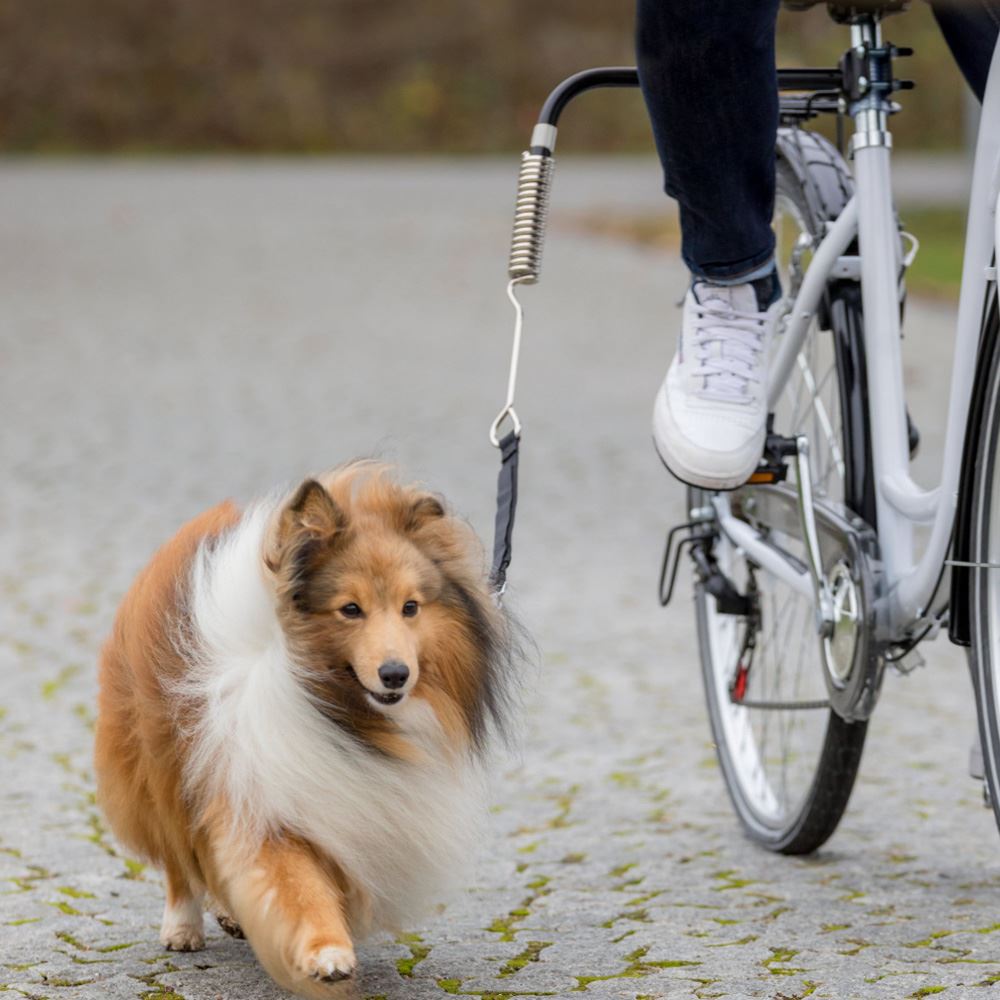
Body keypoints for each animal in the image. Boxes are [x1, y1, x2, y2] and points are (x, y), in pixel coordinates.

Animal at [95, 464, 516, 996]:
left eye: (411, 607)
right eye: (350, 608)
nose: (396, 674)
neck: (339, 710)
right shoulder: (265, 795)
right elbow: (297, 884)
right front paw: (327, 954)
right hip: (158, 762)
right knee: (177, 853)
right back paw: (182, 927)